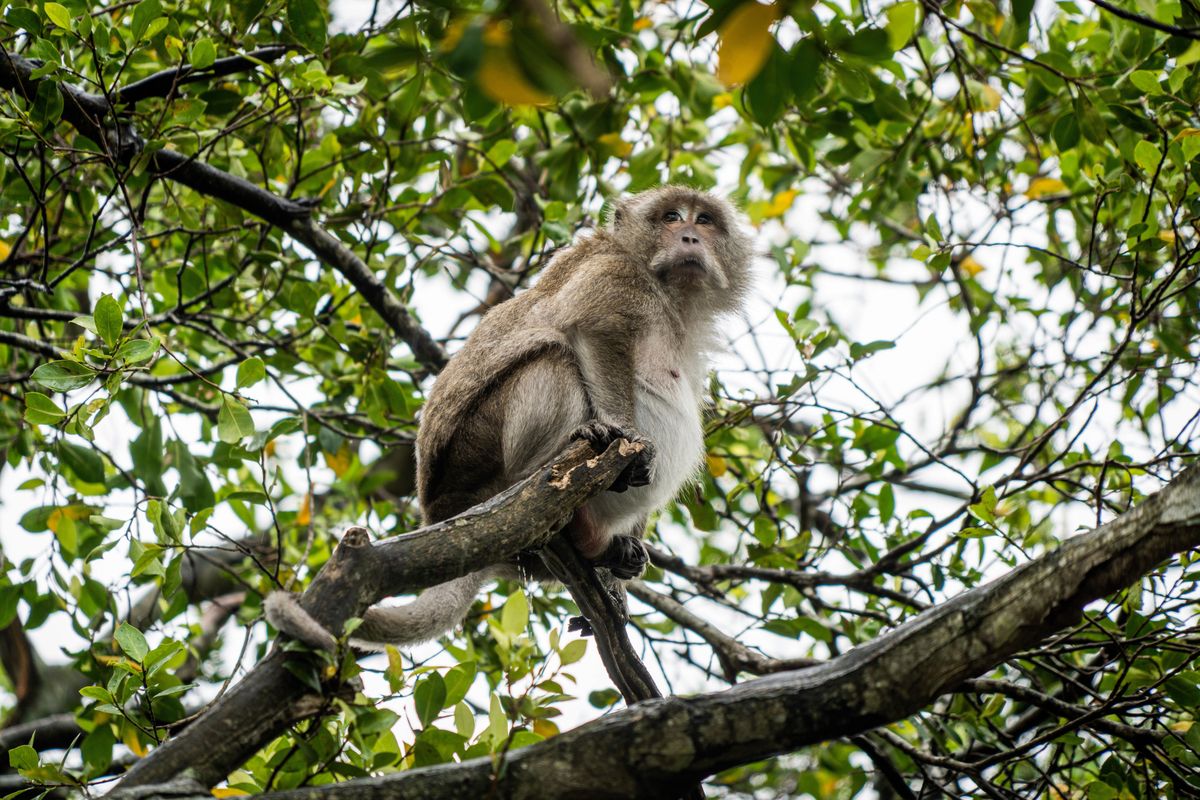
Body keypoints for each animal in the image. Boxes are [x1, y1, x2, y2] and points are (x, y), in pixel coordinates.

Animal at [266, 185, 748, 652]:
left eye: (704, 220)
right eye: (672, 217)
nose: (690, 237)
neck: (668, 294)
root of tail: (439, 512)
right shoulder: (613, 275)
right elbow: (596, 331)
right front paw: (622, 432)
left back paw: (600, 549)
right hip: (474, 455)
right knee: (555, 358)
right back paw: (546, 493)